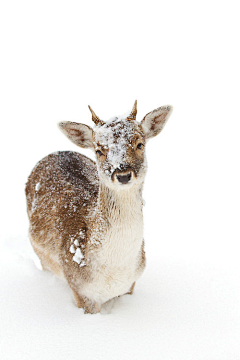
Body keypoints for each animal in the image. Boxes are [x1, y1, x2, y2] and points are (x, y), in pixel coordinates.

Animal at [25, 100, 172, 312]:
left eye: (139, 144)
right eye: (99, 151)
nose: (123, 175)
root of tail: (57, 152)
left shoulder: (131, 284)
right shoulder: (78, 287)